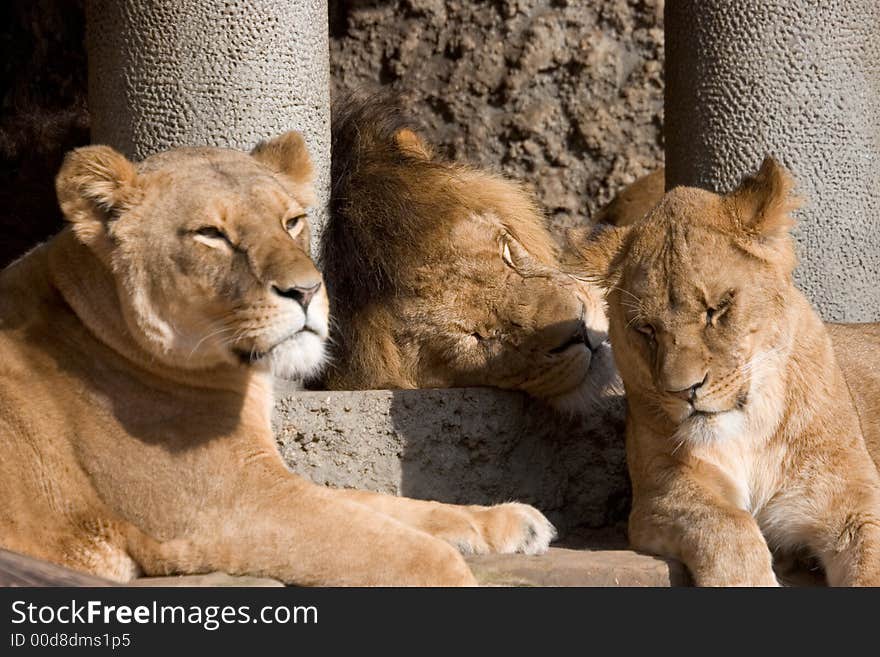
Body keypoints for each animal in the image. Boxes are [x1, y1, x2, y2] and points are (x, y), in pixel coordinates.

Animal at [0, 133, 552, 584]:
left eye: (292, 221)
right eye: (211, 234)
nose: (307, 291)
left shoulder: (265, 481)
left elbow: (379, 503)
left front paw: (507, 520)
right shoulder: (227, 506)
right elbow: (408, 551)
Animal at [572, 158, 880, 584]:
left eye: (717, 308)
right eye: (646, 328)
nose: (683, 391)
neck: (749, 432)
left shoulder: (852, 500)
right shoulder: (660, 492)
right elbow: (728, 525)